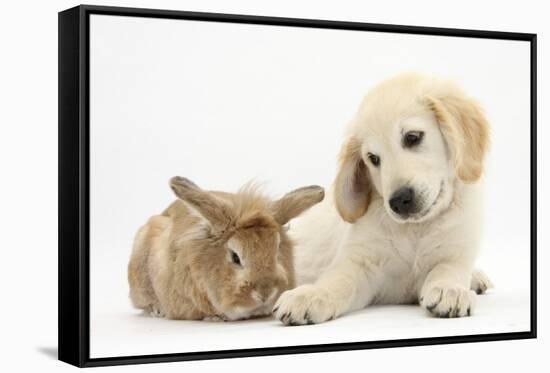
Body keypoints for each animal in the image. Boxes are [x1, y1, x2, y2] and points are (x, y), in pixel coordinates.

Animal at [274, 72, 494, 322]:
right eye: (372, 158)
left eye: (412, 137)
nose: (399, 201)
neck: (415, 230)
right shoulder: (359, 263)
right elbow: (337, 281)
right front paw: (310, 295)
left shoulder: (455, 252)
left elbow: (448, 269)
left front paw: (450, 289)